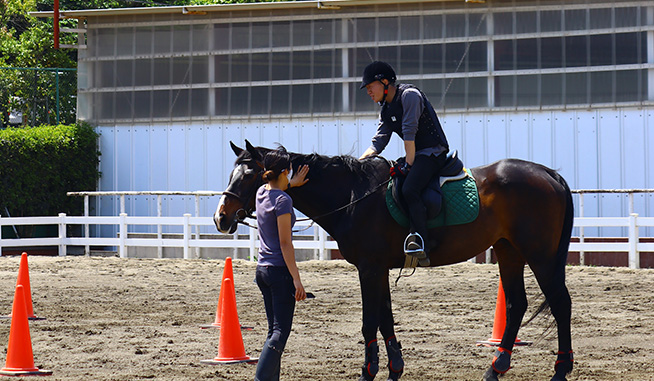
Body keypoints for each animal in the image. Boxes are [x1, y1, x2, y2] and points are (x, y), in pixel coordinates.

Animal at [215, 140, 576, 380]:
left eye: (250, 175)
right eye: (232, 173)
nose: (221, 217)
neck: (354, 196)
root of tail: (548, 174)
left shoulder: (369, 269)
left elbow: (369, 321)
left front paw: (368, 370)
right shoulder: (380, 269)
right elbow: (385, 319)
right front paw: (394, 368)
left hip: (540, 256)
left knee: (560, 303)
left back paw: (560, 370)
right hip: (508, 251)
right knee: (516, 305)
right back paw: (496, 368)